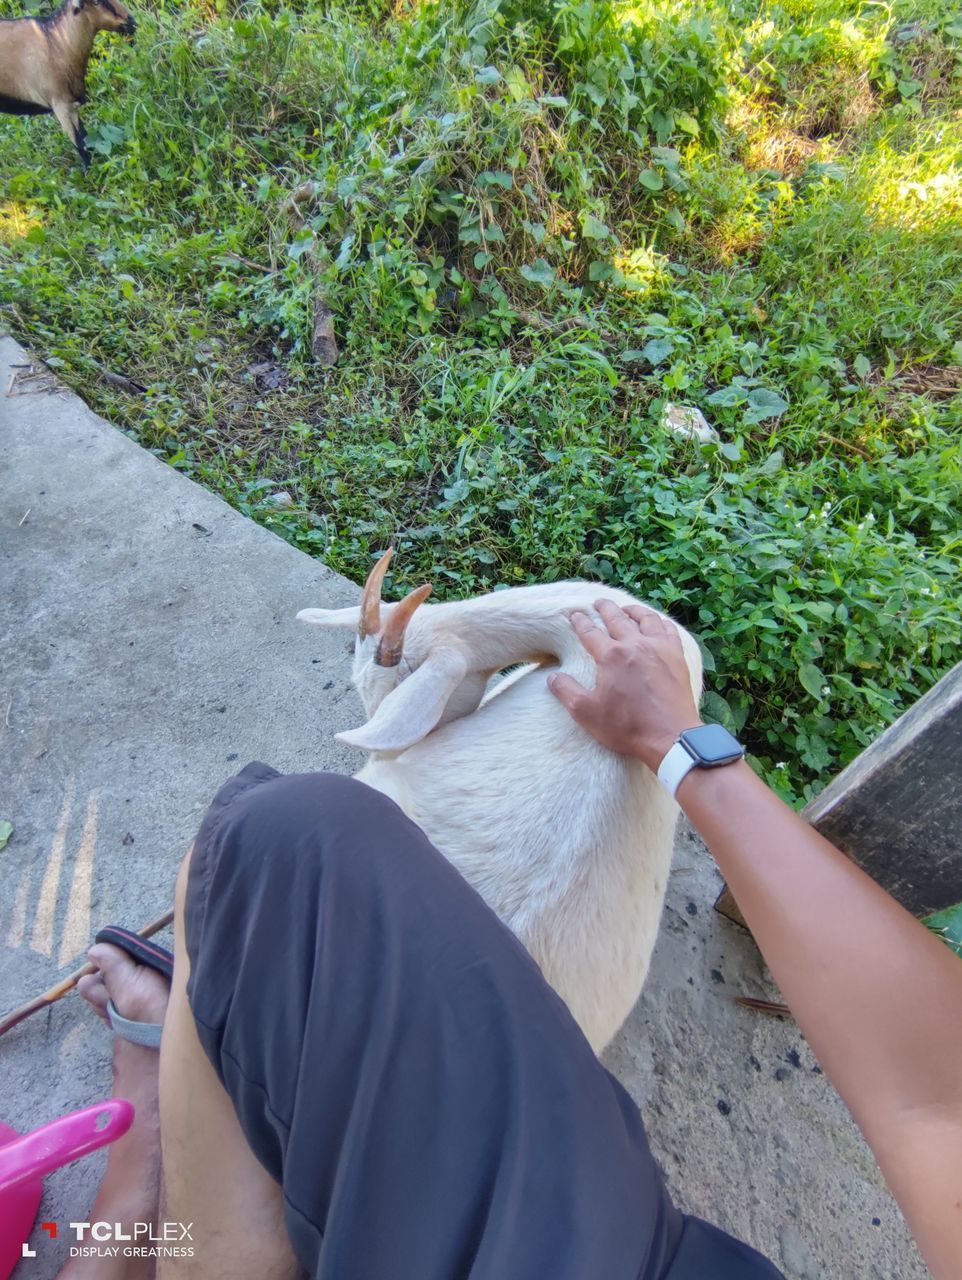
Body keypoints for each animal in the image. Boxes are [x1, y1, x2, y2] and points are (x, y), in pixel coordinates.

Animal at [0, 0, 135, 170]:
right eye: (96, 2)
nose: (131, 21)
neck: (57, 42)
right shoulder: (60, 104)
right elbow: (80, 143)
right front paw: (90, 172)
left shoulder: (71, 104)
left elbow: (84, 137)